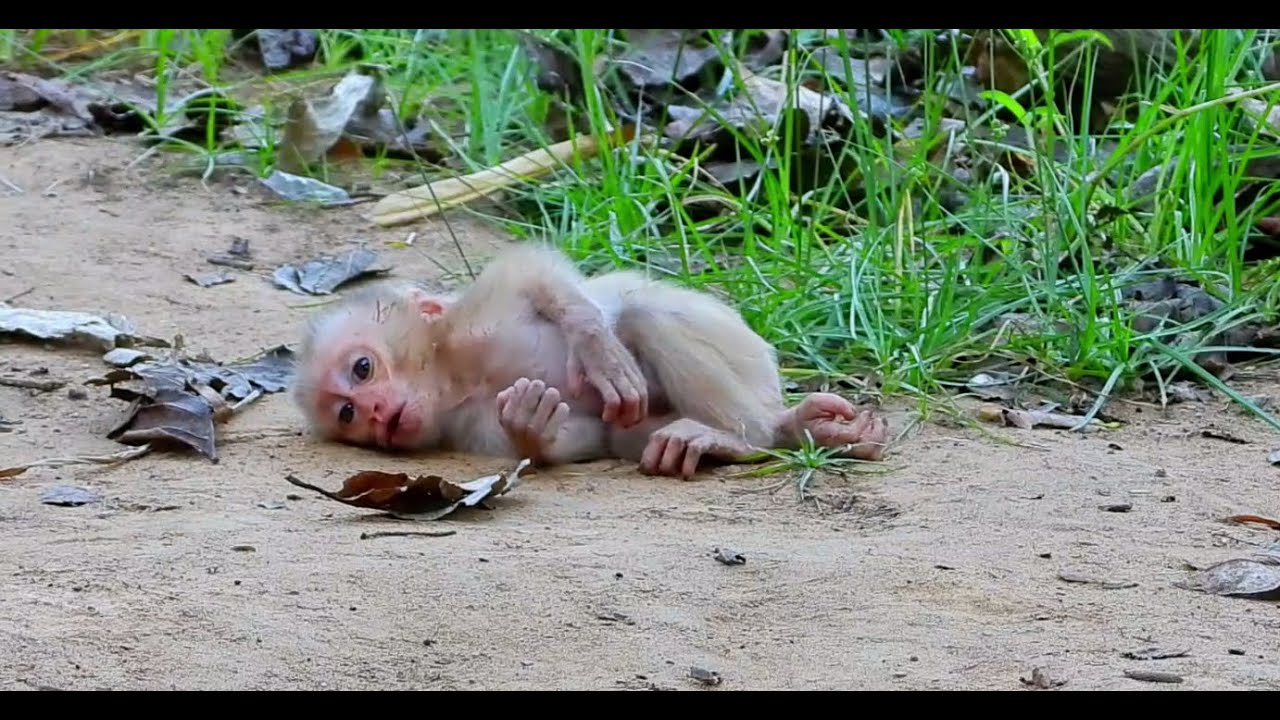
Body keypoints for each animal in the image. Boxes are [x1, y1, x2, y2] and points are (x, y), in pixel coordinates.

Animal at [291, 244, 889, 479]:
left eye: (363, 369)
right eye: (347, 415)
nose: (375, 413)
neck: (457, 375)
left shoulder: (479, 313)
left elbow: (536, 275)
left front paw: (594, 342)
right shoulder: (465, 422)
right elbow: (584, 436)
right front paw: (531, 427)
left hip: (747, 356)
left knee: (645, 313)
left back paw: (747, 437)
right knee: (629, 434)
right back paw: (790, 431)